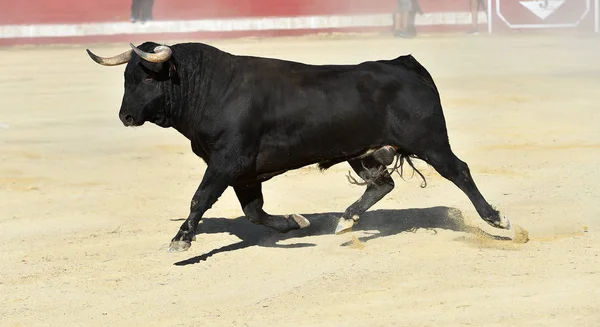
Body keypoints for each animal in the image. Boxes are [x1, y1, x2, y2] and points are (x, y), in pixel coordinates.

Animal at [85, 42, 510, 252]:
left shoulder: (226, 162)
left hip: (429, 140)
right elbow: (254, 212)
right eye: (126, 77)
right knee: (382, 184)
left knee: (459, 171)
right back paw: (346, 221)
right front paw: (295, 223)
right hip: (360, 151)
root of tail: (403, 64)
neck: (209, 88)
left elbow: (200, 198)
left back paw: (498, 220)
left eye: (147, 78)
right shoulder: (243, 173)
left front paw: (181, 240)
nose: (125, 116)